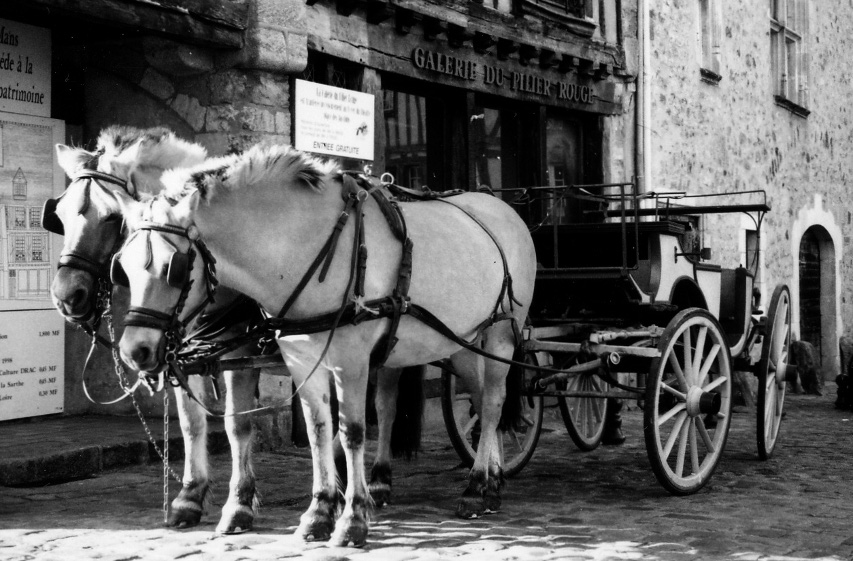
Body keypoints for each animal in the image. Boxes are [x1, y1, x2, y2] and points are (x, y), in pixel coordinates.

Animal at [116, 142, 536, 544]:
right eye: (122, 268)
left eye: (174, 268)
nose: (134, 352)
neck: (305, 246)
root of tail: (500, 205)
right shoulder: (300, 357)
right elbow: (315, 428)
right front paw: (318, 512)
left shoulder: (348, 358)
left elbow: (351, 431)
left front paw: (352, 520)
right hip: (457, 341)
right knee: (462, 401)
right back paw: (487, 479)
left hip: (499, 336)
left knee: (493, 402)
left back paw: (478, 487)